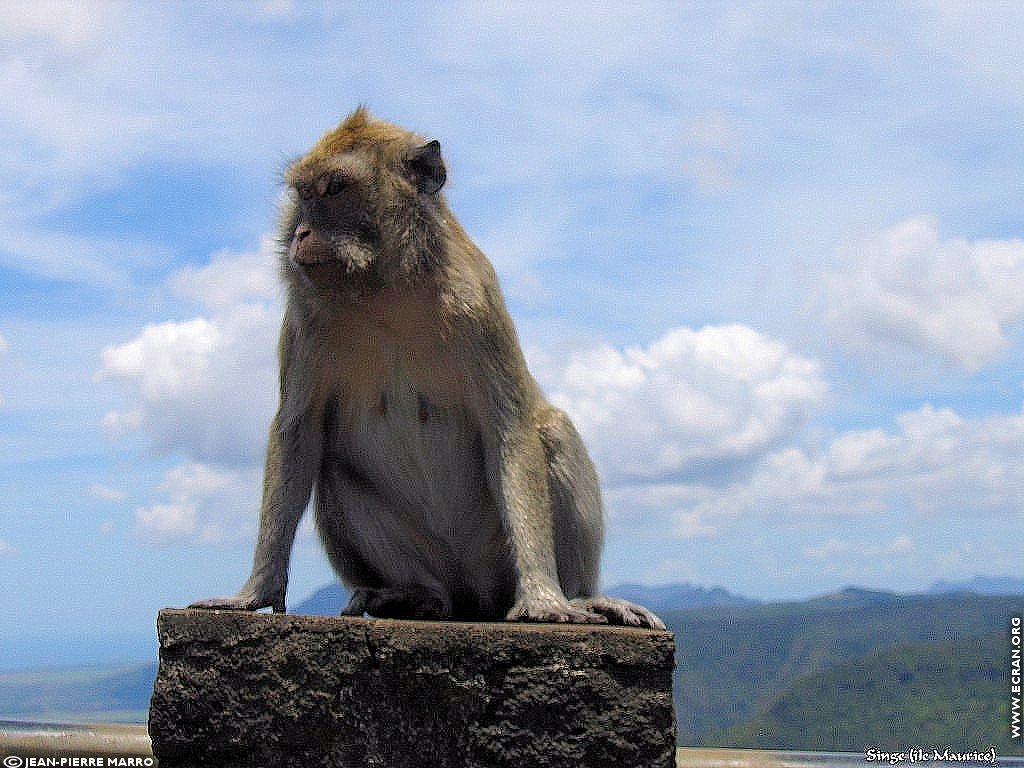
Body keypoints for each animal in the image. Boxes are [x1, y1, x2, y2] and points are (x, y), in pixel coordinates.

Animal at [192, 108, 667, 630]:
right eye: (302, 195)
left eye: (334, 189)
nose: (300, 234)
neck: (386, 292)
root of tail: (473, 599)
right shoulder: (304, 322)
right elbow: (298, 432)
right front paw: (254, 592)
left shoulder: (479, 304)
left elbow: (509, 427)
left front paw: (544, 597)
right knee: (332, 474)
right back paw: (412, 597)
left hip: (495, 560)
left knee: (555, 429)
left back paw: (583, 595)